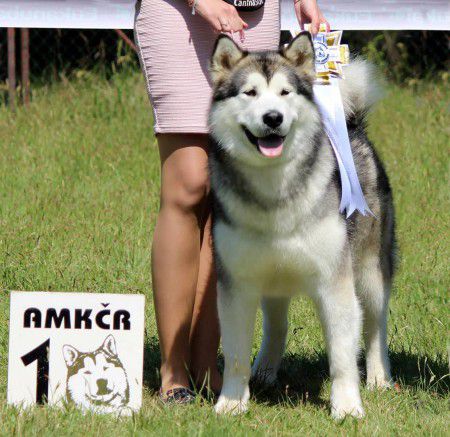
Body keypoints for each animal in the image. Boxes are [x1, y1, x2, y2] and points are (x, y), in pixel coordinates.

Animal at [209, 32, 396, 418]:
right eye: (249, 93)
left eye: (285, 92)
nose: (273, 118)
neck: (274, 192)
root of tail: (352, 127)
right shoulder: (236, 283)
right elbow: (235, 353)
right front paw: (232, 403)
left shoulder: (335, 281)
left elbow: (342, 354)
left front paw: (347, 407)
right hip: (273, 278)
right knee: (276, 324)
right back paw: (264, 371)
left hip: (370, 268)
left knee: (375, 325)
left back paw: (379, 377)